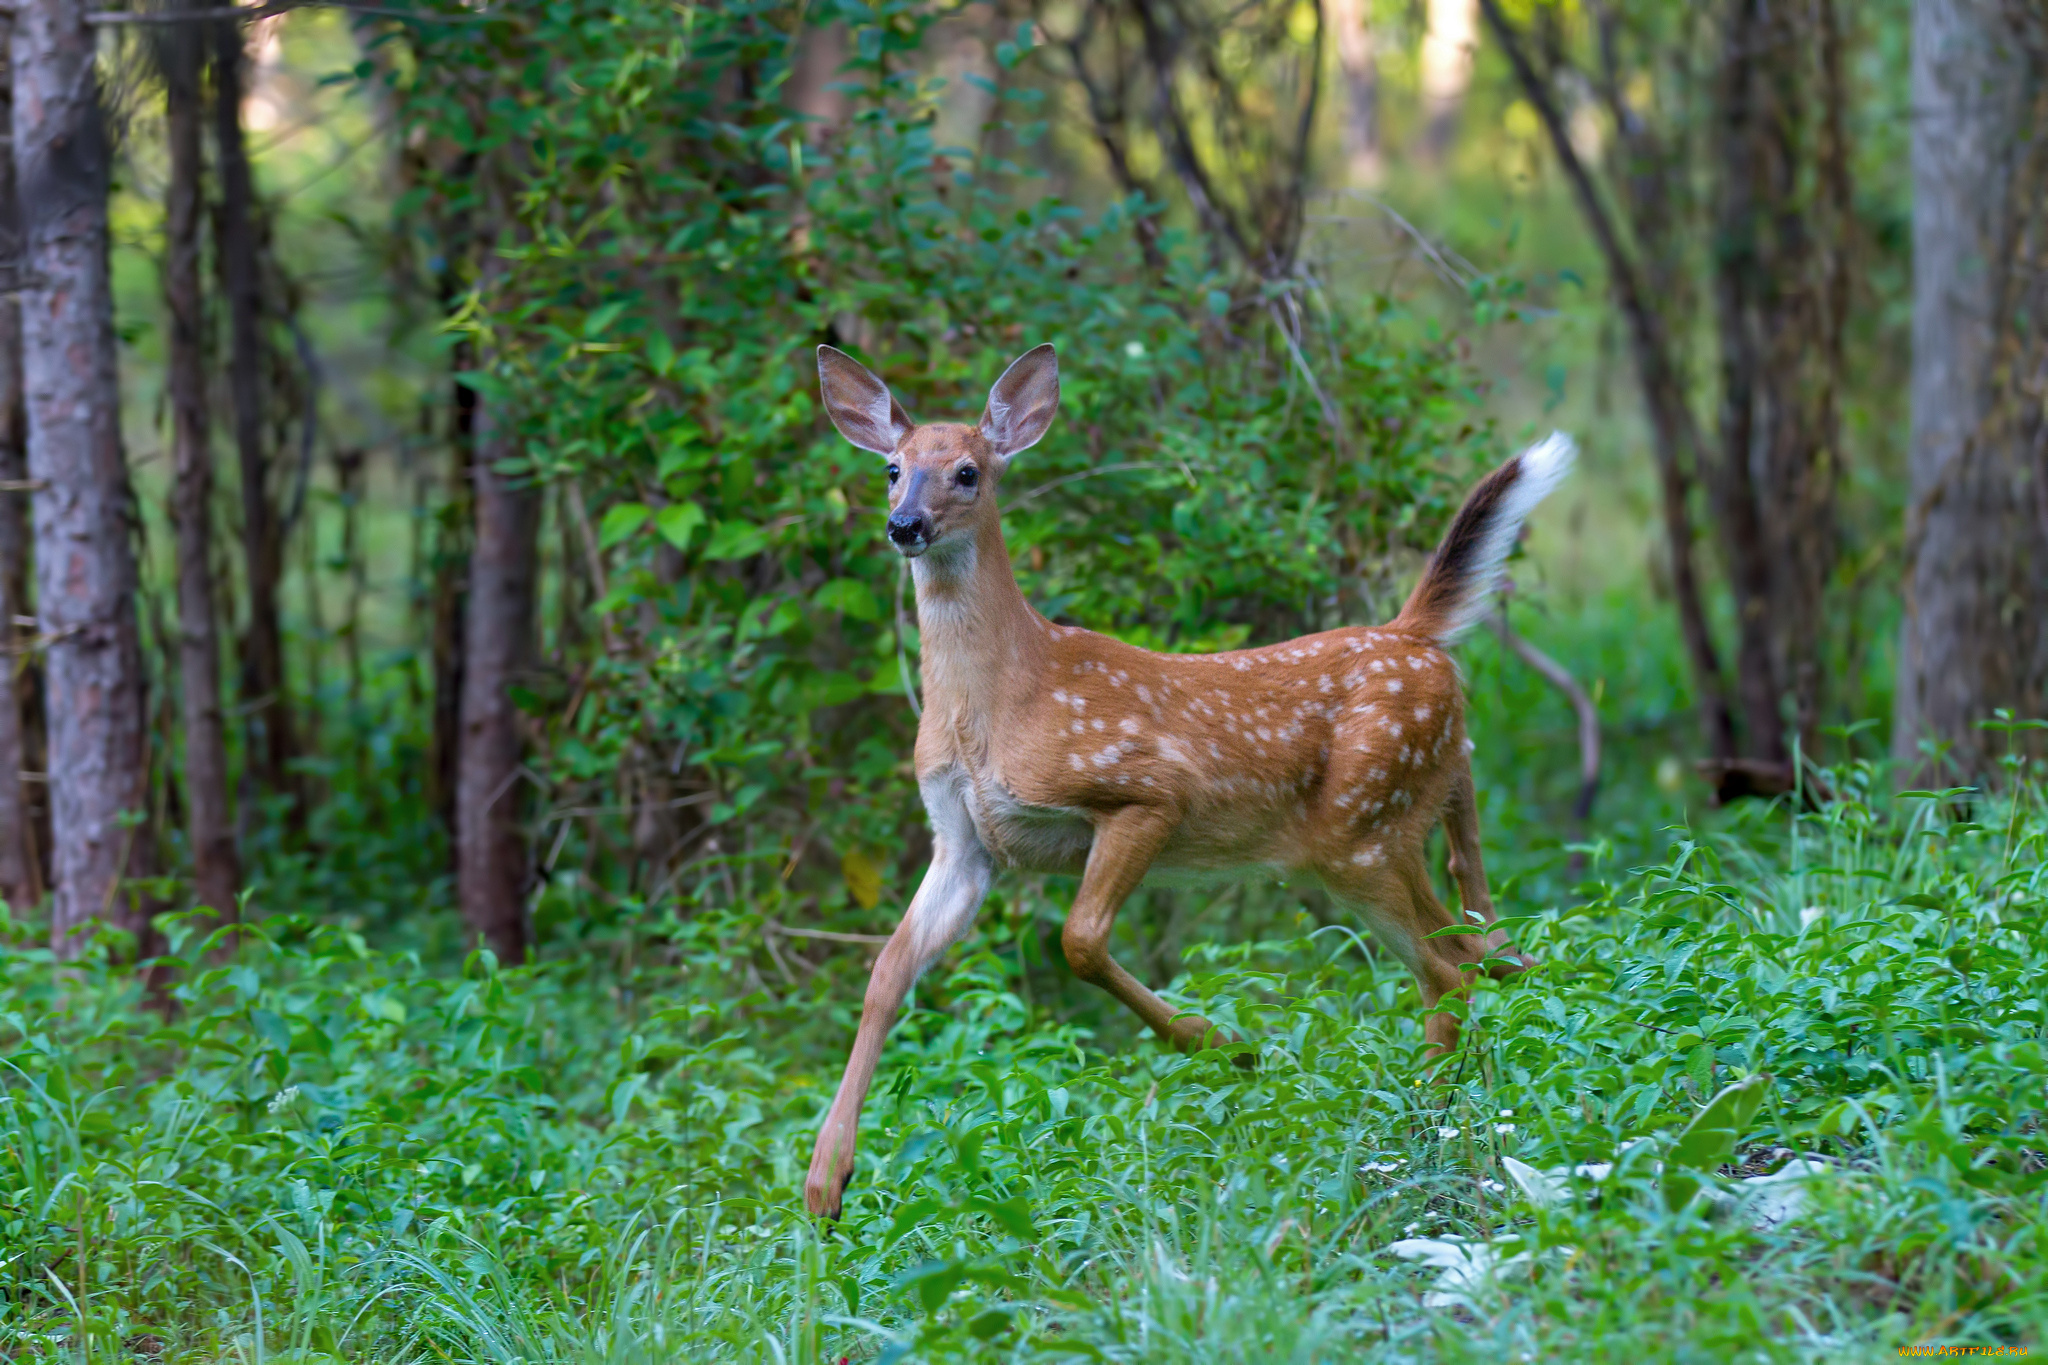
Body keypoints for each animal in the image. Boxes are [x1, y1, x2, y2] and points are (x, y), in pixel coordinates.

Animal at [798, 341, 1564, 1219]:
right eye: (892, 468)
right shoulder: (965, 842)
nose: (906, 525)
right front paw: (825, 1180)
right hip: (1405, 814)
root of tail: (1416, 635)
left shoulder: (1146, 793)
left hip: (1363, 829)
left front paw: (1226, 1045)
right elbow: (887, 969)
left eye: (967, 471)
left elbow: (1080, 940)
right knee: (1484, 952)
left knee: (1448, 971)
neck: (999, 701)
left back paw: (1421, 1142)